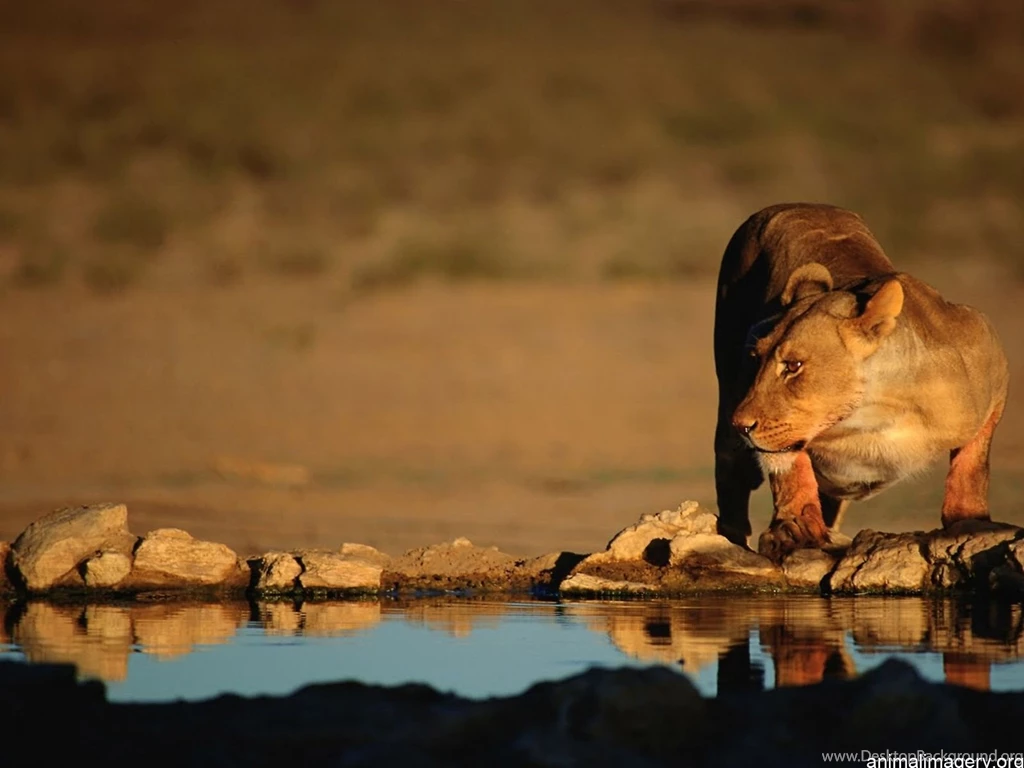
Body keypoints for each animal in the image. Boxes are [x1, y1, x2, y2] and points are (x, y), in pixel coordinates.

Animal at [714, 203, 1008, 563]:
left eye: (793, 366)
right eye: (756, 358)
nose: (742, 424)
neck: (870, 415)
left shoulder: (990, 362)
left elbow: (973, 462)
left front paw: (969, 519)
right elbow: (791, 468)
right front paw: (794, 529)